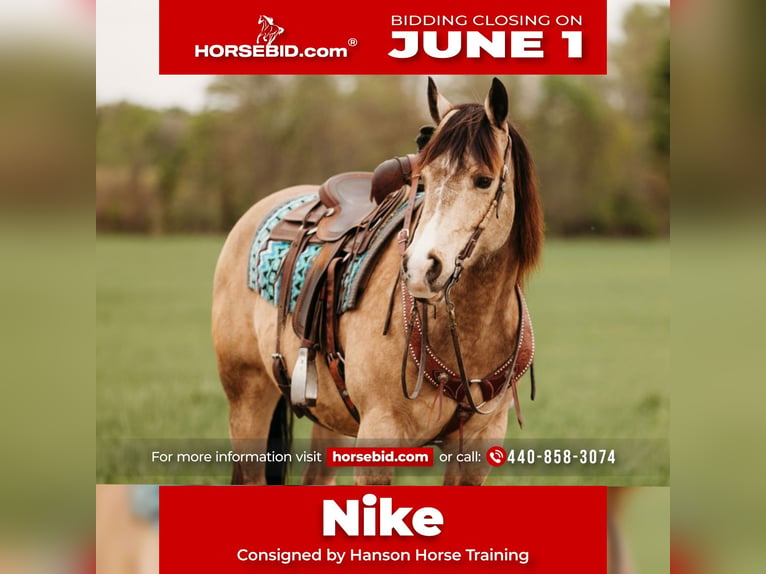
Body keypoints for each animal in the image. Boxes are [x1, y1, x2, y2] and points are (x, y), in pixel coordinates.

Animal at [212, 77, 544, 486]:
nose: (420, 268)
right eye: (424, 179)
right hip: (248, 398)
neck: (470, 331)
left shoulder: (477, 450)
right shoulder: (379, 436)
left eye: (483, 180)